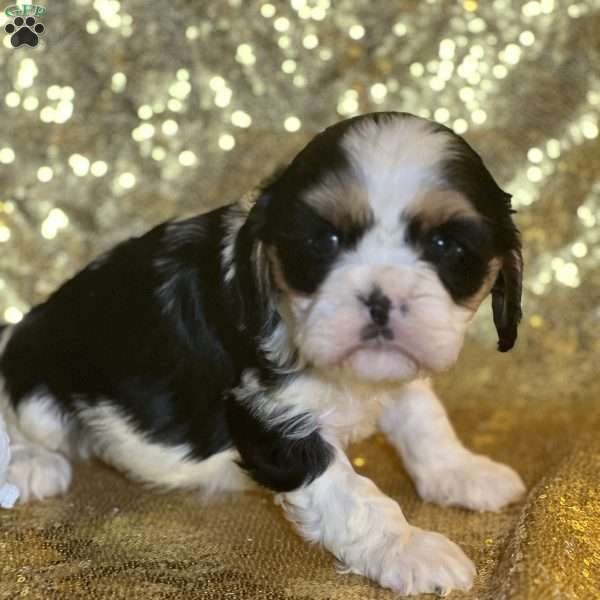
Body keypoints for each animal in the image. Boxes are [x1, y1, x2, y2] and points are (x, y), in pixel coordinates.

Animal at [1, 112, 524, 596]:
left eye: (446, 245)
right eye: (324, 241)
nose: (379, 300)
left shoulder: (399, 374)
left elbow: (423, 418)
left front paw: (462, 471)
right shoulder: (270, 413)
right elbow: (352, 495)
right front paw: (413, 549)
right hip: (39, 383)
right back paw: (29, 463)